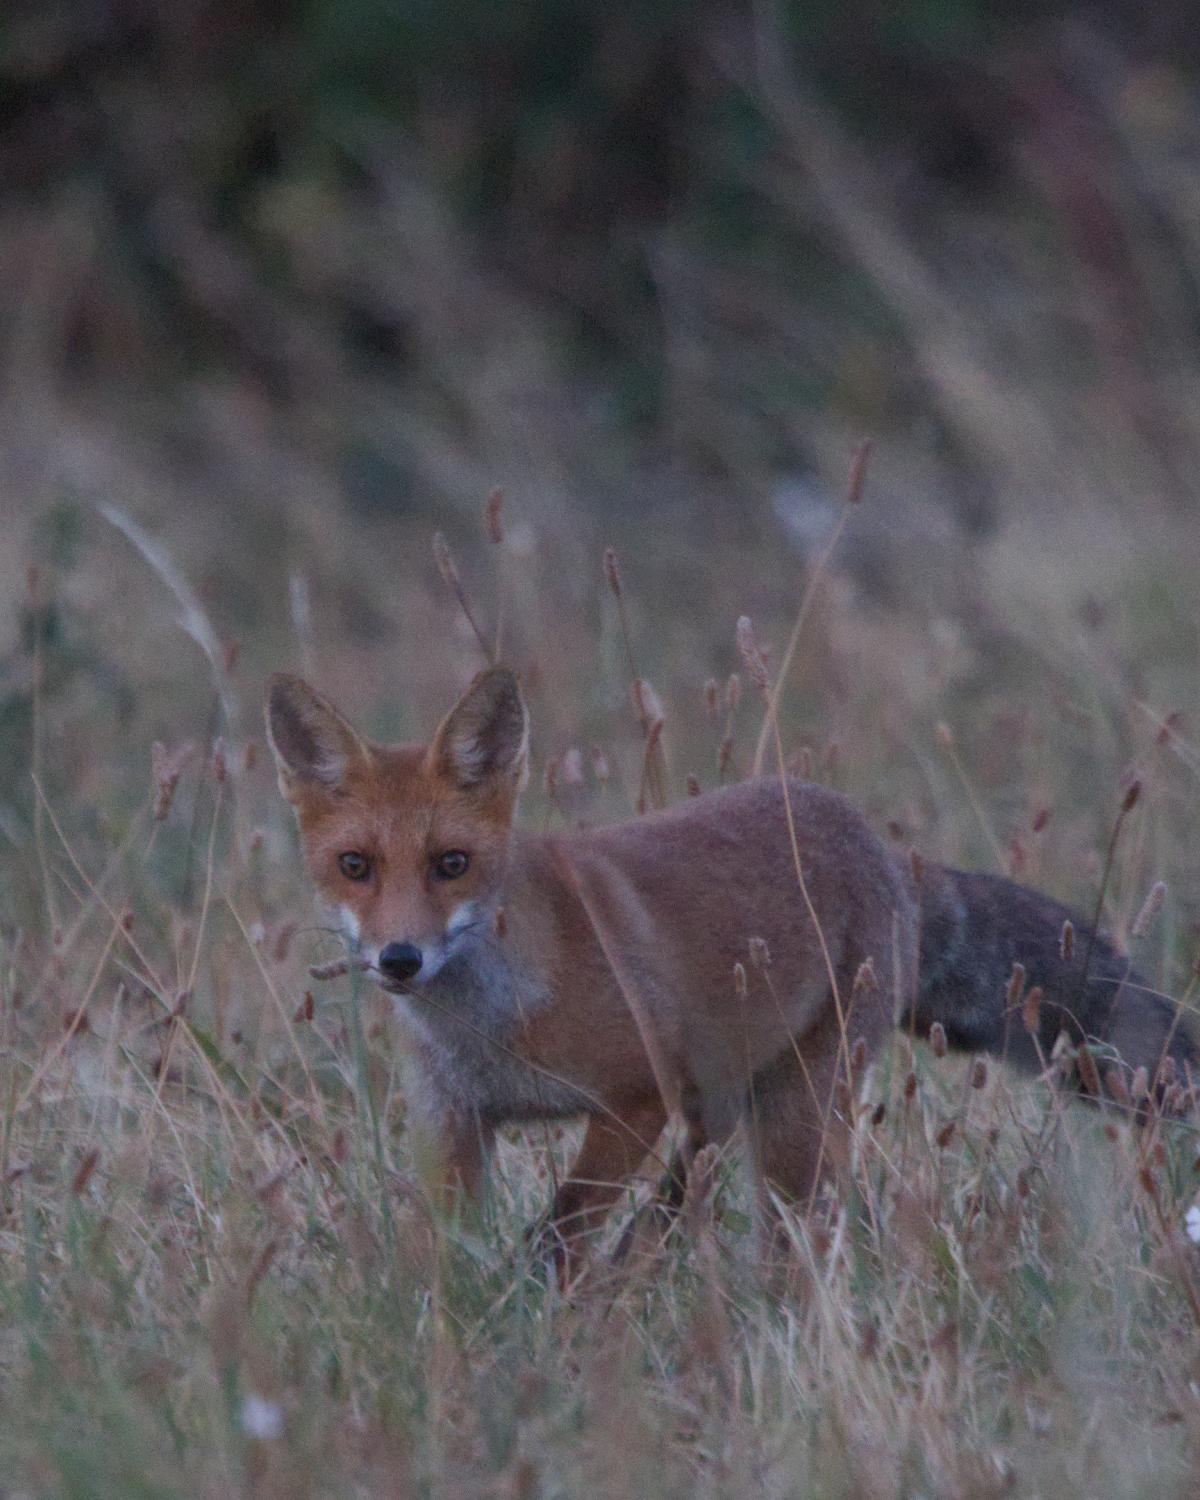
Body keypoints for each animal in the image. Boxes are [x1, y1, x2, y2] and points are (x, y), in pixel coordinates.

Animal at [266, 666, 1192, 1269]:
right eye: (355, 867)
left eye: (450, 864)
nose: (400, 958)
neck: (492, 1026)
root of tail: (879, 842)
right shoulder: (454, 1121)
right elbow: (453, 1255)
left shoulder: (637, 1099)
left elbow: (561, 1229)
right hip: (725, 1108)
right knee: (680, 1209)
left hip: (795, 1118)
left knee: (795, 1235)